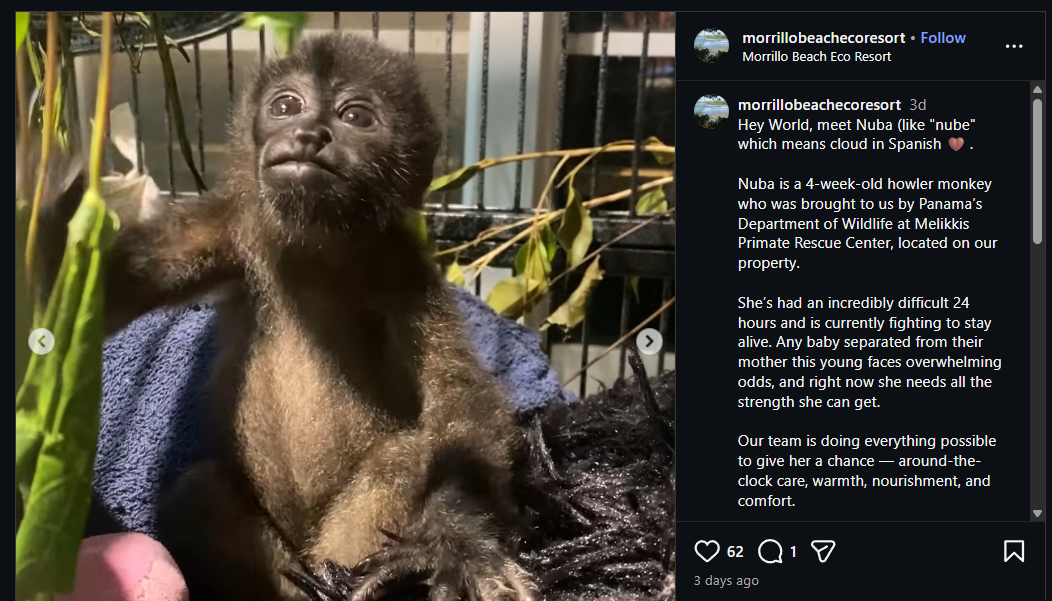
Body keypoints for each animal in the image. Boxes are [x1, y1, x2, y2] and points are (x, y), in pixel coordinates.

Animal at [30, 32, 539, 601]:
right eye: (285, 106)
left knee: (404, 457)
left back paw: (349, 585)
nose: (308, 134)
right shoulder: (229, 226)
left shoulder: (403, 269)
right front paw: (52, 198)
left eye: (356, 116)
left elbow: (462, 402)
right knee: (196, 490)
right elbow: (100, 300)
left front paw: (460, 542)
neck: (311, 250)